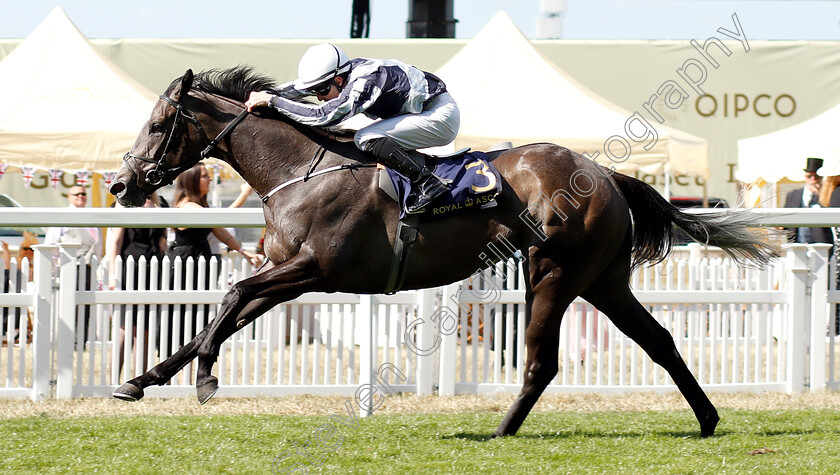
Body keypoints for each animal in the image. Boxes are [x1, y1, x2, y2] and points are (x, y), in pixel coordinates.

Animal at [111, 67, 780, 438]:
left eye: (157, 125)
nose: (121, 184)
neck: (301, 168)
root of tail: (608, 176)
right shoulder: (290, 274)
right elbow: (220, 316)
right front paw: (142, 380)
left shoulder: (312, 269)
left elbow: (228, 297)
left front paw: (204, 377)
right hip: (604, 280)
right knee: (660, 340)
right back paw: (708, 420)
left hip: (553, 273)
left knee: (542, 362)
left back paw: (500, 431)